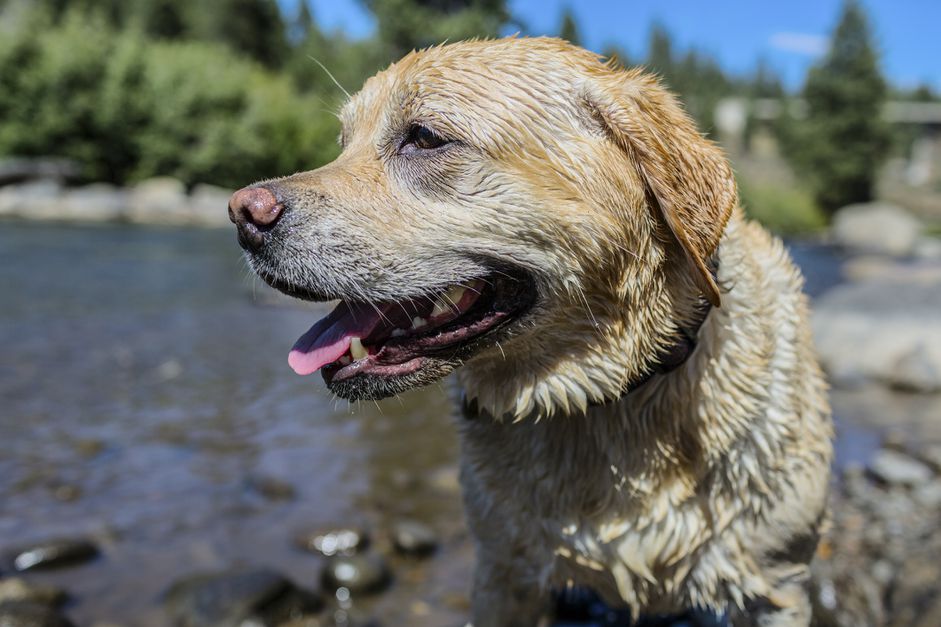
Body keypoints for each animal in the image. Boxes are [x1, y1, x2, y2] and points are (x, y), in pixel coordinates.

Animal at [228, 36, 828, 624]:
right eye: (342, 142)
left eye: (425, 138)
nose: (243, 213)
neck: (601, 400)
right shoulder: (501, 571)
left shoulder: (775, 585)